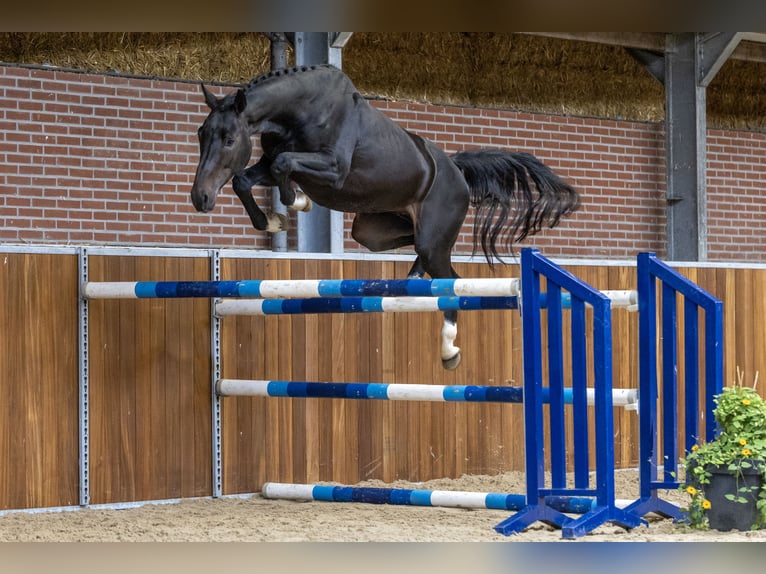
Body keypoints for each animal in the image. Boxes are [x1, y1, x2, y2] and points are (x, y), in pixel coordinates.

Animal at [192, 65, 584, 372]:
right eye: (201, 134)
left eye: (229, 138)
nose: (200, 197)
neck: (302, 110)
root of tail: (457, 170)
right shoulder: (269, 164)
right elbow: (246, 178)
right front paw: (275, 220)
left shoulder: (332, 170)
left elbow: (283, 165)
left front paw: (297, 203)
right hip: (372, 231)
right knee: (420, 253)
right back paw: (411, 280)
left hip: (430, 238)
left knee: (451, 279)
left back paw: (449, 349)